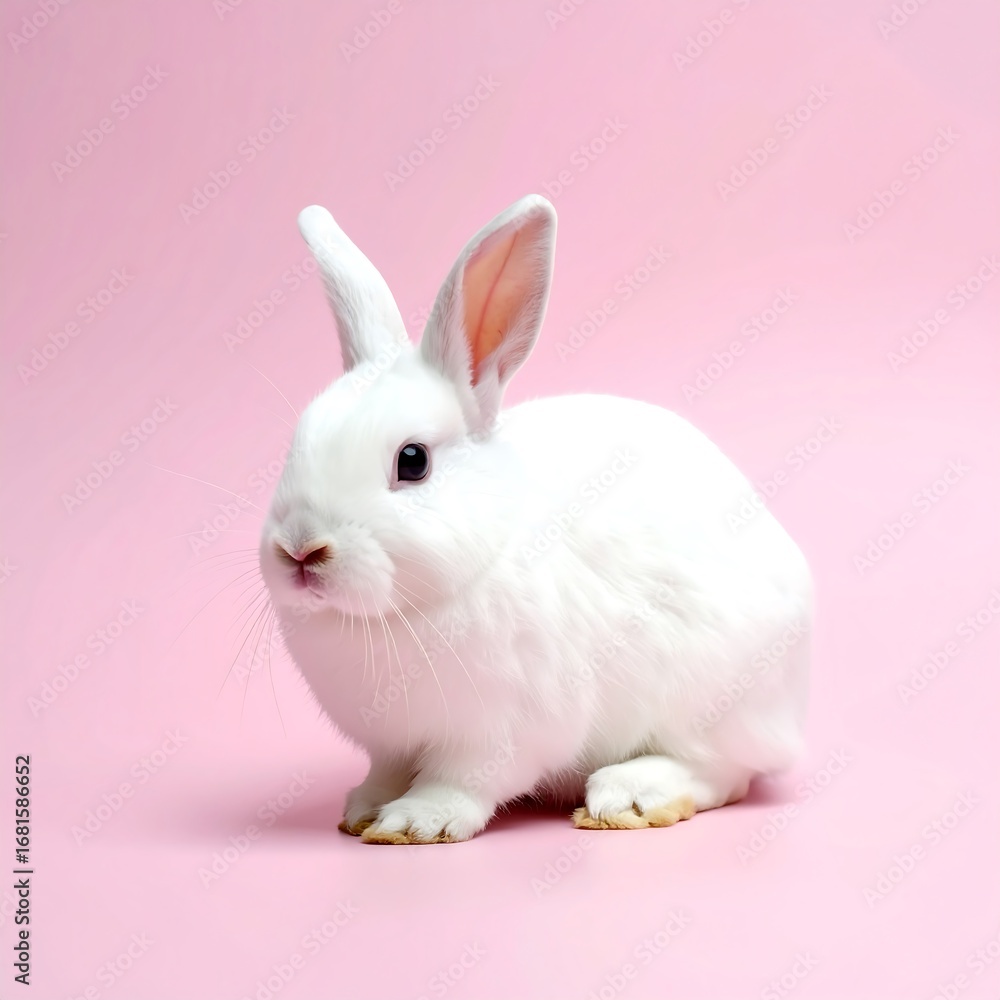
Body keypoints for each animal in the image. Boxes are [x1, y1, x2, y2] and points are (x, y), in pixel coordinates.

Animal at [258, 194, 812, 844]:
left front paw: (417, 821)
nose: (301, 548)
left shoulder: (504, 729)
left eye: (412, 461)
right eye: (295, 446)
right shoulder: (389, 744)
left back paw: (629, 795)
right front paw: (366, 811)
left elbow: (466, 780)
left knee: (723, 772)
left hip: (712, 696)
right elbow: (386, 772)